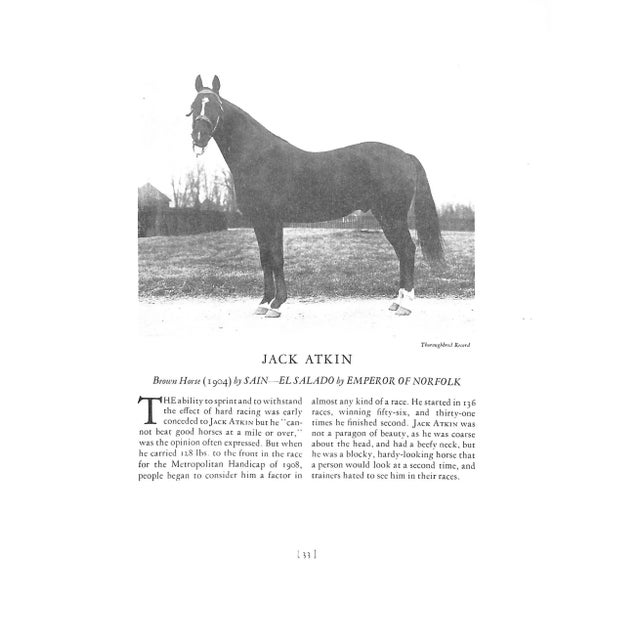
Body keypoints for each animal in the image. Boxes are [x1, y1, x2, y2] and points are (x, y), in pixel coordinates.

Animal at [187, 74, 444, 317]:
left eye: (216, 106)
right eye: (193, 105)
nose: (198, 137)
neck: (259, 157)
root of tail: (405, 155)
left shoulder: (272, 220)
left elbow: (276, 259)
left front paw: (276, 304)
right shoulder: (259, 222)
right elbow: (265, 259)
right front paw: (263, 303)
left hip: (393, 216)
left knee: (407, 250)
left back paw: (405, 304)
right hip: (386, 217)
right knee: (402, 251)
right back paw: (396, 301)